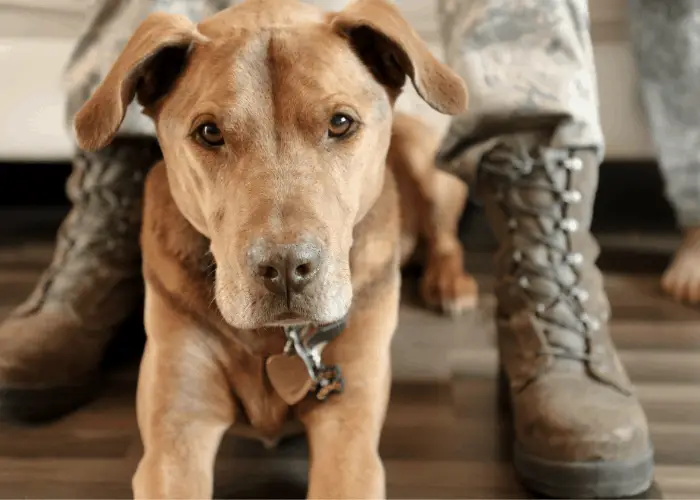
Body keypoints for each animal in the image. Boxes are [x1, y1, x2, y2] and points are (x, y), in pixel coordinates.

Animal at [72, 1, 476, 498]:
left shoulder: (349, 430)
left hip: (426, 160)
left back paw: (451, 285)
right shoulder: (177, 431)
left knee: (444, 234)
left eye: (340, 122)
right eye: (209, 132)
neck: (282, 340)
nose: (285, 268)